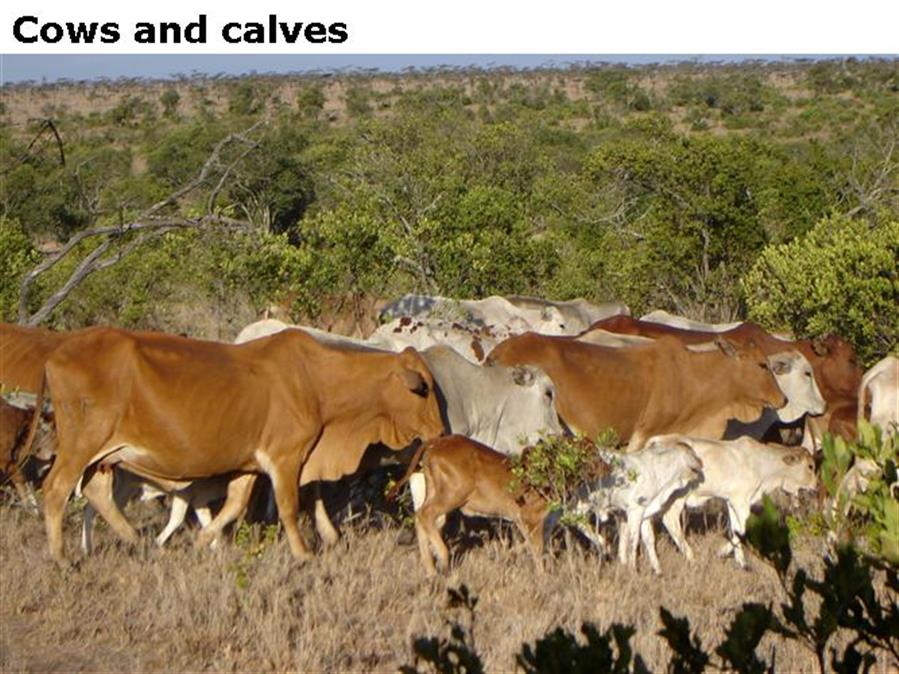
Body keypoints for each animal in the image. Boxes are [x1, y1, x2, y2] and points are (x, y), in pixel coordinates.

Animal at [23, 326, 444, 562]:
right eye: (423, 388)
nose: (441, 432)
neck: (317, 382)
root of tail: (56, 353)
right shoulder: (285, 458)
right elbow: (290, 509)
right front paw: (304, 554)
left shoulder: (249, 465)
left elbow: (233, 506)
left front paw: (204, 542)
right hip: (82, 444)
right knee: (56, 490)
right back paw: (61, 557)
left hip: (104, 455)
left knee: (96, 493)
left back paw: (136, 540)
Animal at [388, 435, 550, 576]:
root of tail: (437, 442)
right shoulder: (532, 518)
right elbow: (538, 549)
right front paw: (542, 577)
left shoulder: (521, 520)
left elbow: (529, 544)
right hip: (453, 495)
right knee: (424, 514)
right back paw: (443, 560)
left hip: (436, 494)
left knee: (421, 518)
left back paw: (431, 571)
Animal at [572, 441, 703, 575]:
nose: (700, 463)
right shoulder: (635, 511)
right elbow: (633, 541)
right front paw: (633, 570)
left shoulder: (645, 513)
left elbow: (649, 540)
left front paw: (657, 570)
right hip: (583, 502)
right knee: (575, 518)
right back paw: (603, 544)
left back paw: (603, 545)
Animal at [648, 435, 818, 568]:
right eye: (810, 466)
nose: (816, 486)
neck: (761, 464)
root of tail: (658, 441)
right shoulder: (741, 501)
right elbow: (741, 530)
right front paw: (721, 552)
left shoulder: (731, 501)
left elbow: (735, 528)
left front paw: (741, 562)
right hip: (677, 496)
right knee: (669, 520)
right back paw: (691, 559)